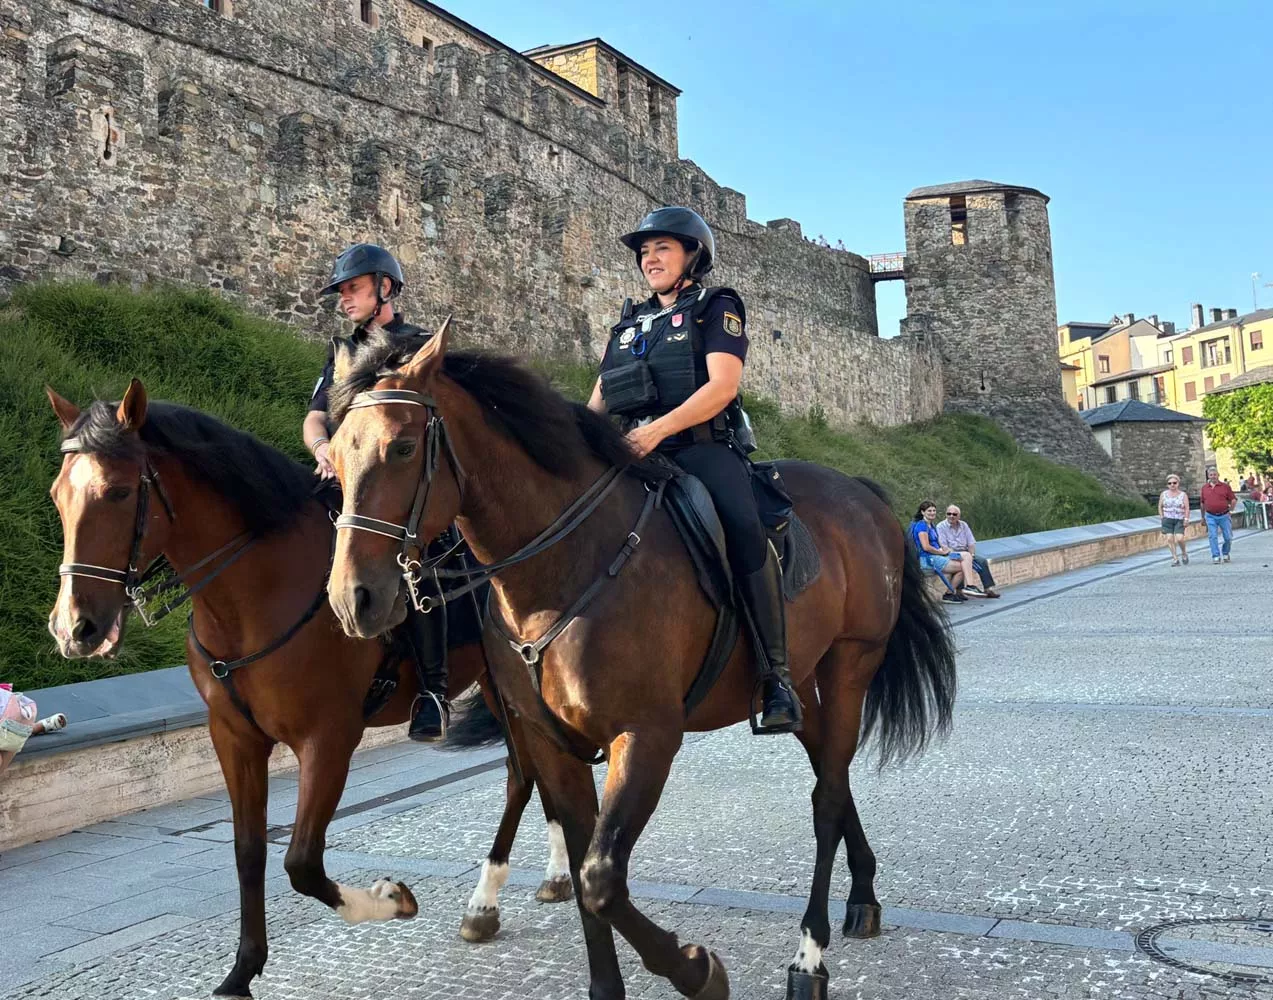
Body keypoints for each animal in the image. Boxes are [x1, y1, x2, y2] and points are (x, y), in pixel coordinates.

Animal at [44, 379, 572, 992]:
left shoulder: (329, 738)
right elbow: (249, 851)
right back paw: (556, 874)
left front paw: (391, 898)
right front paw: (242, 971)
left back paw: (485, 902)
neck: (255, 594)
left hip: (502, 686)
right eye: (57, 496)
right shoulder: (234, 738)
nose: (73, 628)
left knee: (522, 775)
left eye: (119, 491)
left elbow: (300, 861)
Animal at [323, 328, 957, 997]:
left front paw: (696, 969)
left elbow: (602, 878)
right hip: (799, 679)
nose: (351, 597)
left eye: (402, 447)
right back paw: (863, 896)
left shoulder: (647, 735)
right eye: (333, 454)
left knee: (828, 798)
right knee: (827, 773)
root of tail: (861, 493)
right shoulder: (551, 742)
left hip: (850, 666)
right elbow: (583, 871)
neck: (562, 565)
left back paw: (809, 956)